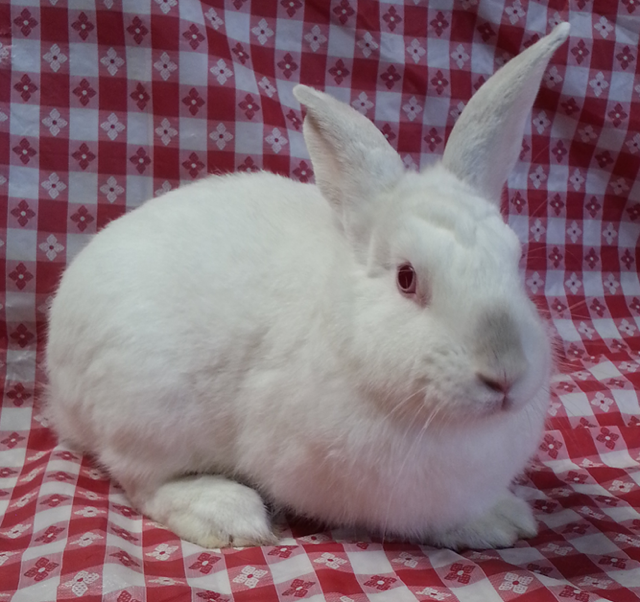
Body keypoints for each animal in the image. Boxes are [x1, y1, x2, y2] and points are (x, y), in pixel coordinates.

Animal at [45, 23, 570, 550]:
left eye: (514, 259)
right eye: (407, 278)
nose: (505, 374)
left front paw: (504, 518)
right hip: (145, 413)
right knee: (144, 482)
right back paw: (228, 515)